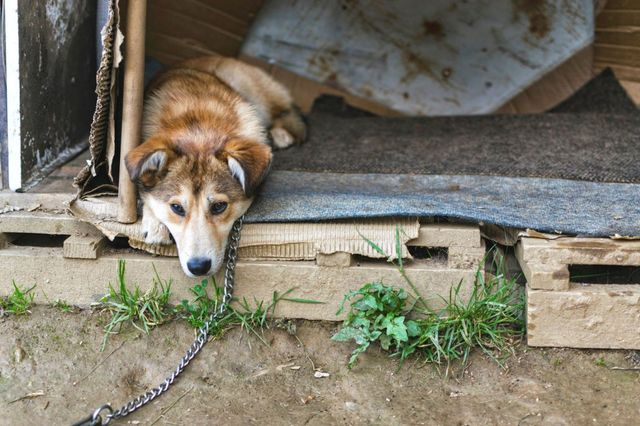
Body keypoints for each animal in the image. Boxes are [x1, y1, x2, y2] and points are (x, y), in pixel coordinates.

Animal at [126, 55, 306, 276]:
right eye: (176, 208)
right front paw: (155, 224)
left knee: (287, 111)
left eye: (219, 206)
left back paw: (281, 134)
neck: (198, 129)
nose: (198, 267)